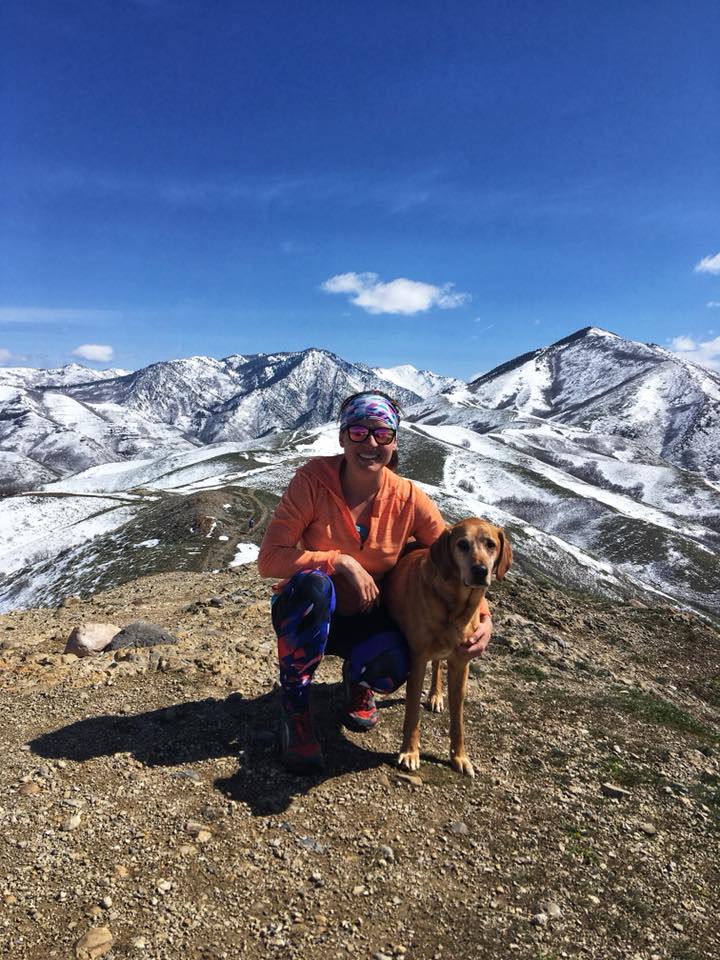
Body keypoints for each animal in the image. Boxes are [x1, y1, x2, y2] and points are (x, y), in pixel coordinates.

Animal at [382, 520, 512, 776]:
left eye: (491, 544)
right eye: (462, 544)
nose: (480, 570)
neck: (456, 605)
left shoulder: (461, 664)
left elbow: (458, 720)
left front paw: (459, 757)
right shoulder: (417, 658)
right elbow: (412, 713)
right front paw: (410, 752)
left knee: (437, 665)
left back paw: (435, 695)